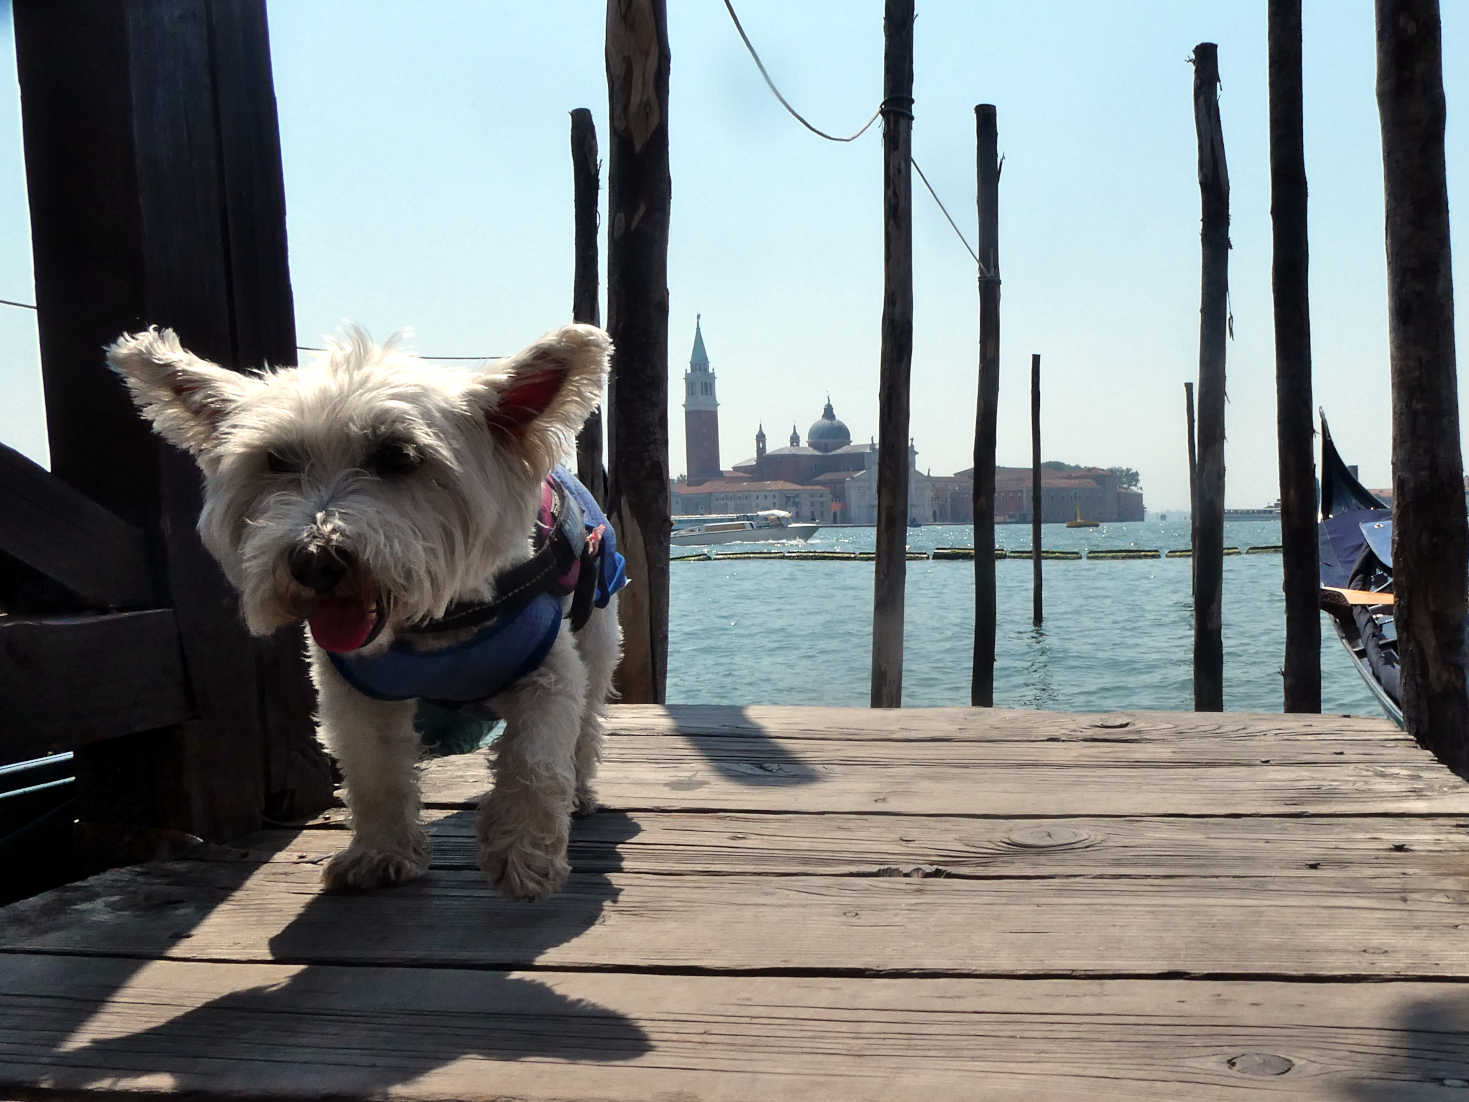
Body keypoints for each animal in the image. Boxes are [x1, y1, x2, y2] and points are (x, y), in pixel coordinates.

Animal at [107, 323, 625, 899]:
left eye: (399, 456)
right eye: (276, 460)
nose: (314, 558)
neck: (433, 627)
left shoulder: (547, 675)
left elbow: (534, 761)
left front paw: (524, 858)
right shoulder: (354, 696)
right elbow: (376, 773)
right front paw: (380, 855)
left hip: (597, 639)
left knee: (585, 725)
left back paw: (579, 795)